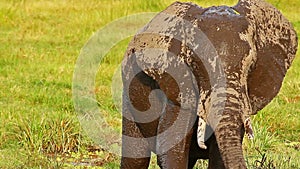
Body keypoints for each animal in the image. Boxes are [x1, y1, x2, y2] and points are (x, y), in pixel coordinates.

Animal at [120, 0, 298, 168]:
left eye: (251, 65)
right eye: (195, 63)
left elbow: (218, 157)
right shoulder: (177, 83)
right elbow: (171, 149)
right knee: (136, 157)